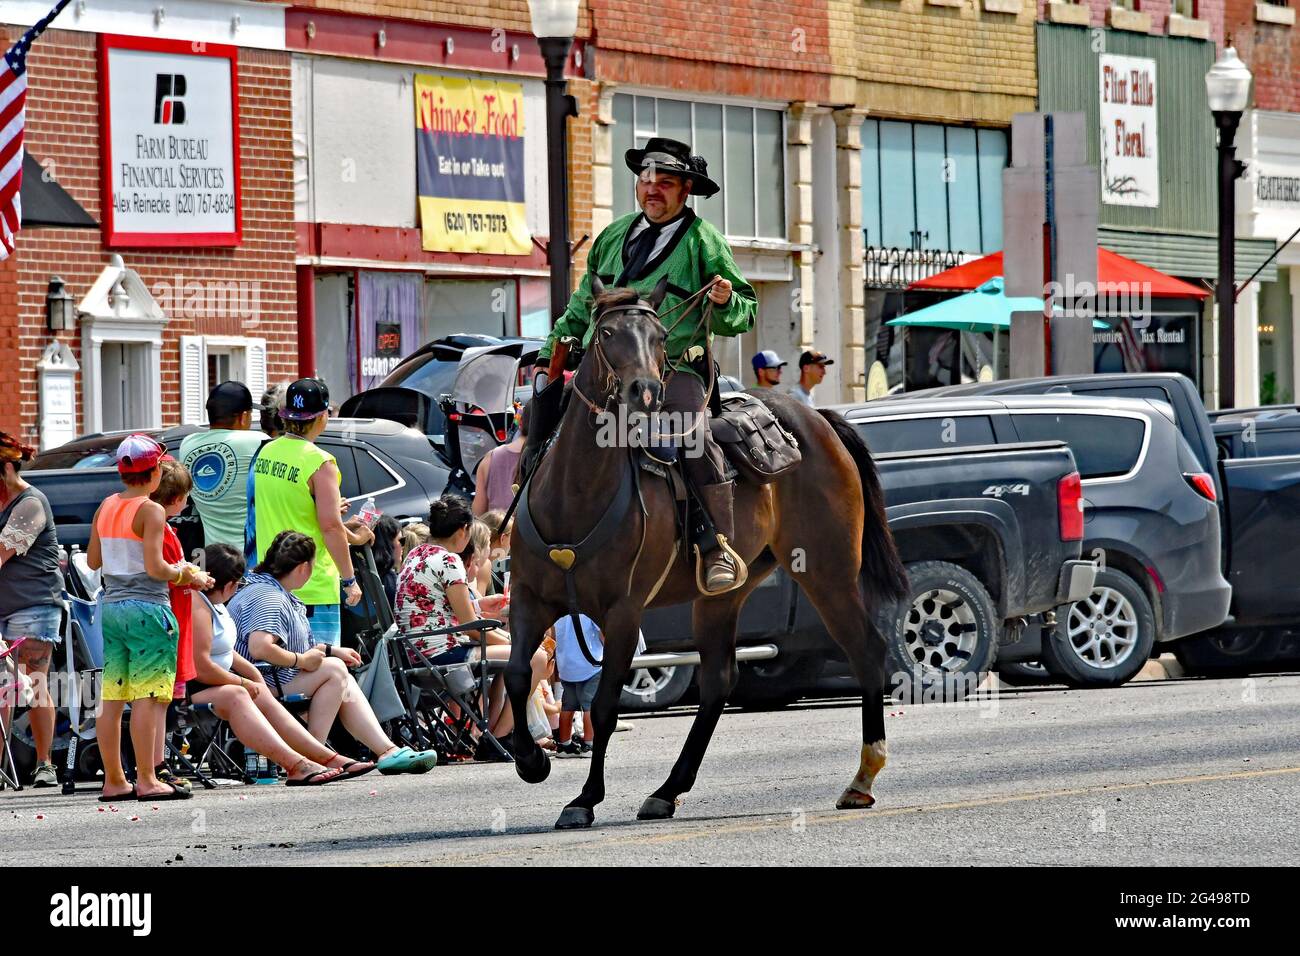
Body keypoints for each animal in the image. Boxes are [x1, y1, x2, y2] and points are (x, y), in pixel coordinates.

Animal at [501, 283, 909, 832]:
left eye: (659, 335)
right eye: (606, 333)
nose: (644, 392)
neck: (575, 494)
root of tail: (817, 418)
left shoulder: (624, 614)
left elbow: (605, 706)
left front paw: (584, 798)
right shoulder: (527, 601)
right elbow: (516, 676)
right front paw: (531, 761)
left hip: (828, 571)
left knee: (865, 649)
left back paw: (862, 778)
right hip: (725, 595)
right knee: (718, 681)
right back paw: (668, 790)